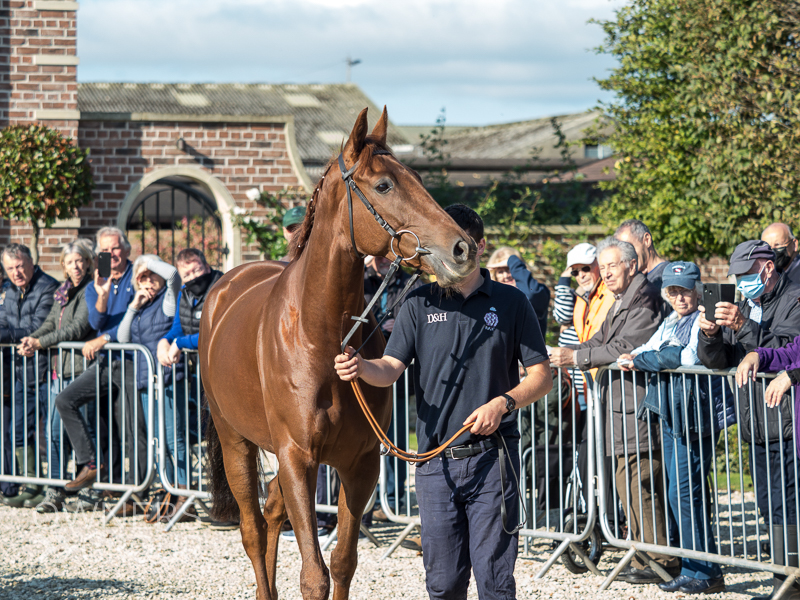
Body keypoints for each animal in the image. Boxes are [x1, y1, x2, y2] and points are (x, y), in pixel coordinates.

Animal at [200, 108, 478, 600]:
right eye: (384, 185)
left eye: (417, 178)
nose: (461, 248)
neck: (323, 337)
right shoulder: (298, 458)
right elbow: (314, 575)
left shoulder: (360, 463)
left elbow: (343, 562)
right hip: (236, 440)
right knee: (252, 529)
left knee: (272, 516)